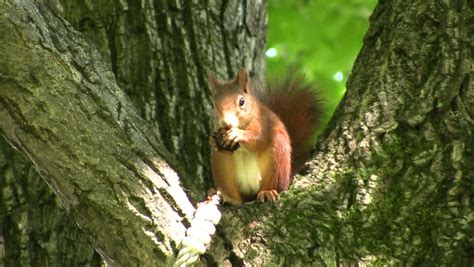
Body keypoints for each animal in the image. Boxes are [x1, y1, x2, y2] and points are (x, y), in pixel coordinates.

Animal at [210, 68, 324, 204]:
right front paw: (212, 140)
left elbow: (258, 139)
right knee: (237, 197)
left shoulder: (264, 122)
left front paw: (237, 134)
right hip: (221, 167)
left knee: (275, 184)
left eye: (242, 101)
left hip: (277, 158)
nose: (226, 123)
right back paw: (230, 198)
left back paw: (267, 192)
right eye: (212, 105)